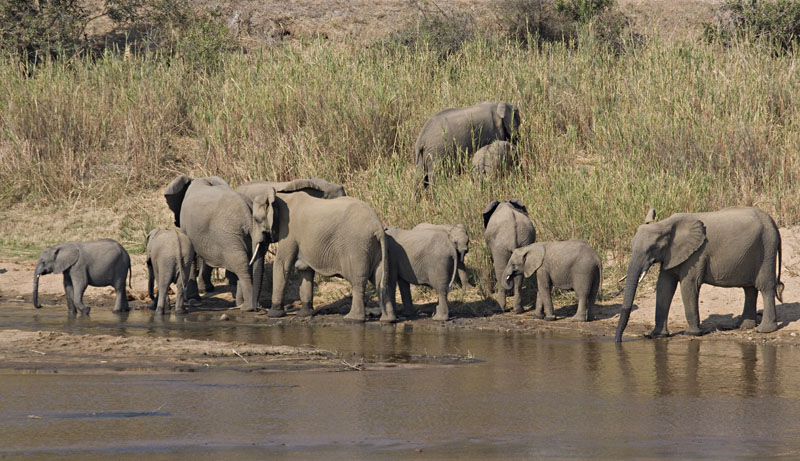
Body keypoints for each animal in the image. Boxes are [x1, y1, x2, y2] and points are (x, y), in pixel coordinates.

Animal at [163, 176, 268, 312]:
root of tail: (248, 213)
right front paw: (204, 291)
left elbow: (192, 255)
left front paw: (193, 298)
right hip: (251, 234)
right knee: (248, 262)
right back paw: (245, 305)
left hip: (229, 236)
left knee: (241, 265)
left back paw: (247, 307)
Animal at [250, 178, 394, 322]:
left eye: (256, 219)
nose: (258, 310)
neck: (279, 197)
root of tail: (378, 227)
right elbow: (304, 270)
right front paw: (304, 314)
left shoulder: (289, 230)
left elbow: (281, 264)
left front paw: (273, 315)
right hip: (374, 247)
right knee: (380, 280)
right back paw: (388, 320)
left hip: (357, 246)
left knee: (358, 281)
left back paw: (352, 319)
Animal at [620, 206, 780, 342]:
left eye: (653, 248)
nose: (618, 340)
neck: (666, 224)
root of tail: (773, 223)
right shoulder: (672, 254)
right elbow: (664, 286)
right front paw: (658, 335)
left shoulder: (697, 254)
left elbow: (688, 285)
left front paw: (692, 334)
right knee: (749, 288)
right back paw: (744, 326)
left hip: (767, 248)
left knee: (765, 287)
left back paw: (764, 330)